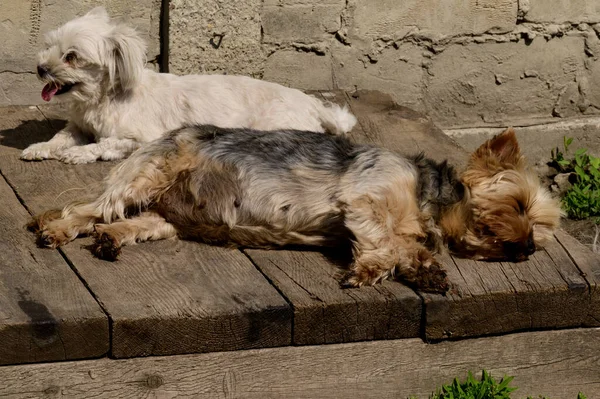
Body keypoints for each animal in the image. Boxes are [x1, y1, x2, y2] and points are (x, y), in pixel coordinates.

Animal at [21, 7, 354, 164]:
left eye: (72, 57)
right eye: (49, 47)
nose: (40, 68)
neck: (103, 99)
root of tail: (314, 104)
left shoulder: (141, 138)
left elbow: (105, 144)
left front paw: (80, 154)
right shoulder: (78, 127)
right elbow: (60, 138)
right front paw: (40, 147)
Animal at [28, 127, 564, 294]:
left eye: (540, 230)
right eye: (519, 204)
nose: (527, 249)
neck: (428, 197)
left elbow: (407, 247)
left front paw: (426, 271)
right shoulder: (366, 200)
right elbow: (385, 242)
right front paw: (371, 270)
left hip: (163, 218)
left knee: (125, 222)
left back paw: (109, 241)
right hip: (152, 171)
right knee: (88, 208)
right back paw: (58, 229)